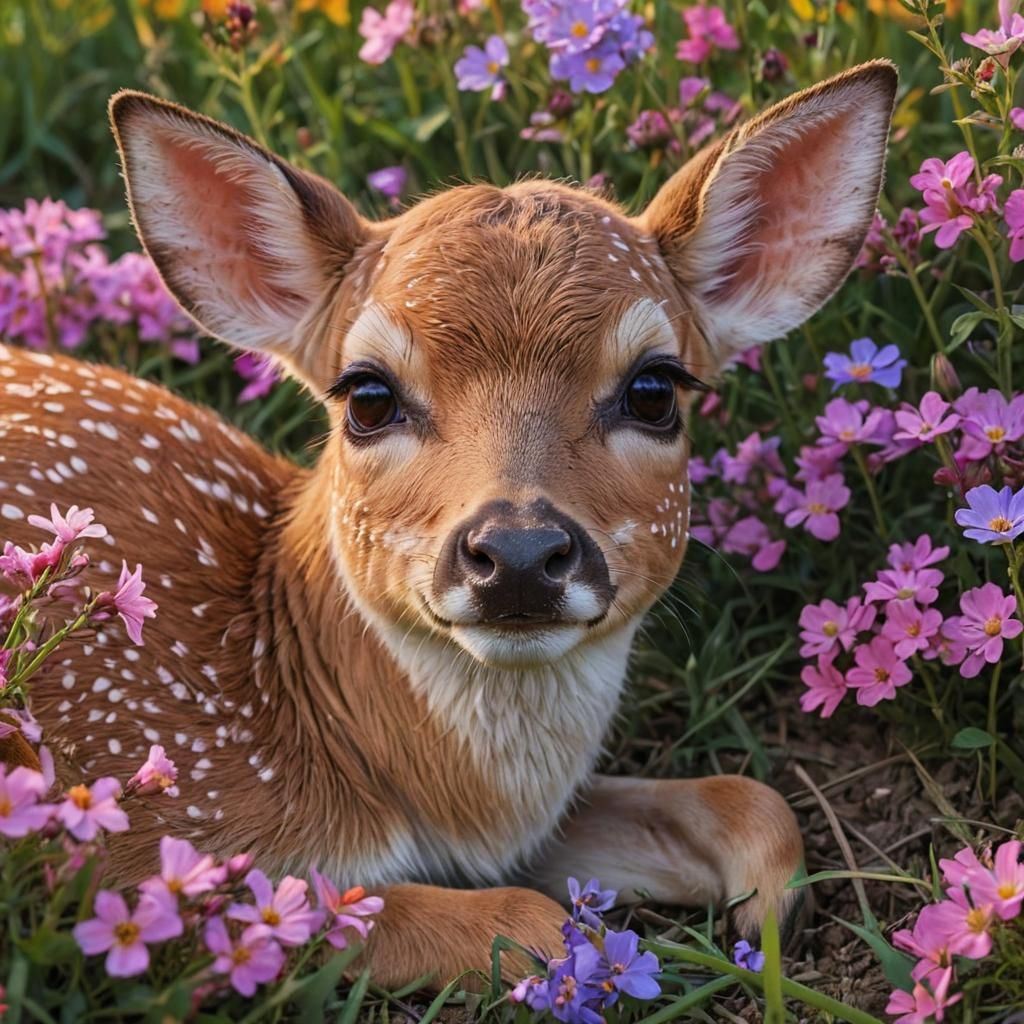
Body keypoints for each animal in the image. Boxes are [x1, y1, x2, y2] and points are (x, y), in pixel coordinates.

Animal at [0, 60, 897, 987]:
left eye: (654, 390)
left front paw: (765, 926)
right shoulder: (134, 847)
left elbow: (750, 801)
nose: (519, 552)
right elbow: (528, 923)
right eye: (367, 395)